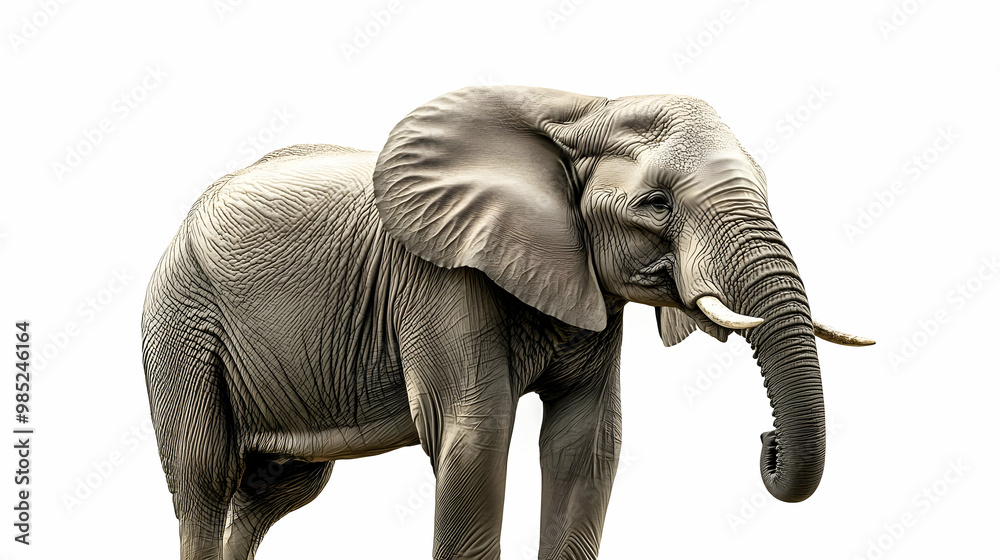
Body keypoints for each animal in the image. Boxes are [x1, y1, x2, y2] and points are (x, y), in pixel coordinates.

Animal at [141, 85, 873, 560]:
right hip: (181, 324)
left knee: (272, 491)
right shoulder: (436, 279)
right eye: (656, 204)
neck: (580, 109)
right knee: (205, 476)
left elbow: (586, 443)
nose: (766, 444)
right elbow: (476, 437)